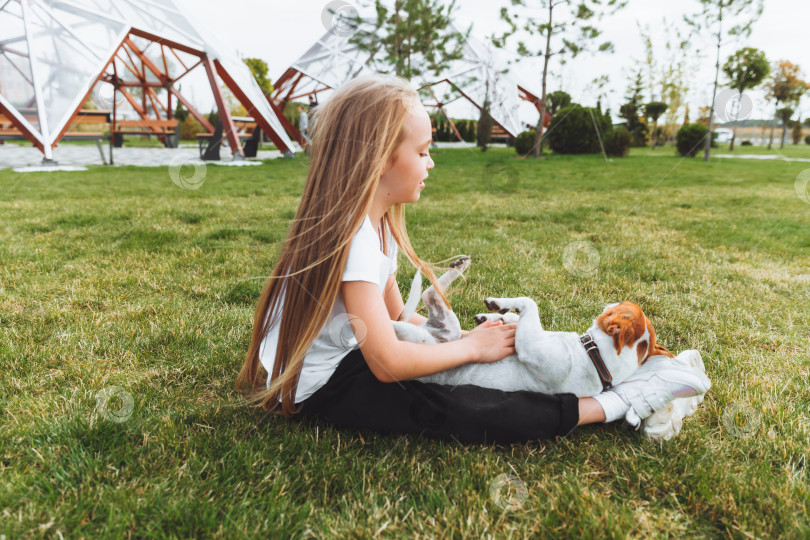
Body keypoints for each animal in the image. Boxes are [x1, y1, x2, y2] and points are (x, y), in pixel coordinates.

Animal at [394, 256, 704, 438]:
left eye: (623, 307)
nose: (614, 299)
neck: (596, 356)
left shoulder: (531, 345)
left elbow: (530, 302)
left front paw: (501, 305)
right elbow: (515, 317)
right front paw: (494, 315)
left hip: (425, 339)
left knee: (423, 297)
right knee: (430, 293)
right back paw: (459, 267)